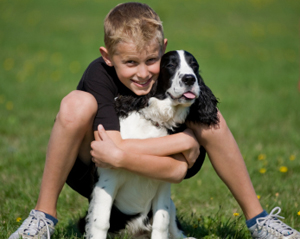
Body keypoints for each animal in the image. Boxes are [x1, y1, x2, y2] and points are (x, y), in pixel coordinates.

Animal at [84, 50, 218, 239]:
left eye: (194, 65)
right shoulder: (107, 178)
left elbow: (161, 222)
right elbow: (100, 222)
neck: (153, 123)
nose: (190, 79)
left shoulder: (164, 181)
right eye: (170, 65)